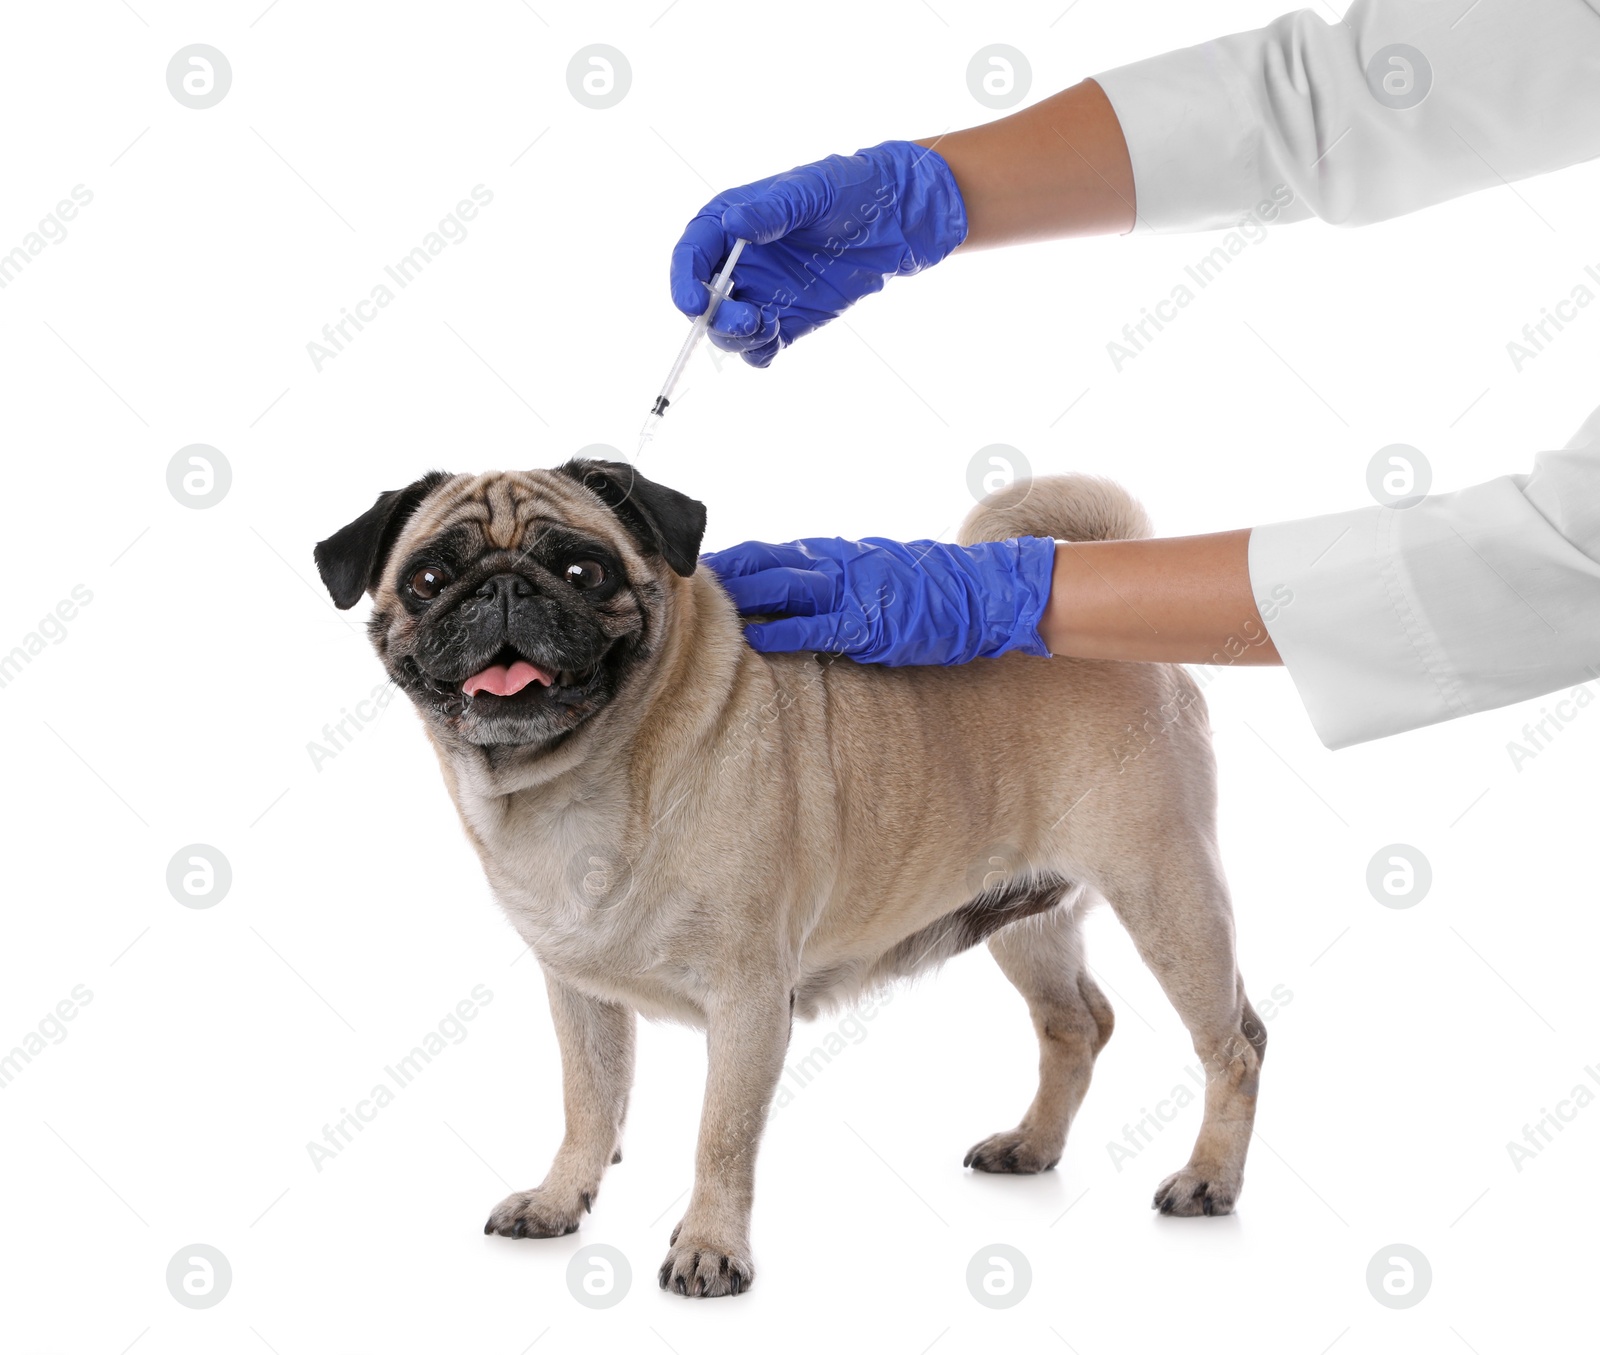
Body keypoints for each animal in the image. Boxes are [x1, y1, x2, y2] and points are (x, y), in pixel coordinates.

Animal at [312, 460, 1260, 1299]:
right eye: (430, 577)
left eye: (583, 570)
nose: (502, 589)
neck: (579, 775)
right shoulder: (579, 993)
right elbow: (589, 1101)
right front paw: (559, 1198)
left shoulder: (748, 1002)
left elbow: (720, 1137)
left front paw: (708, 1248)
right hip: (1025, 919)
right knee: (1076, 1025)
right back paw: (1031, 1145)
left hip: (1167, 895)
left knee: (1235, 1045)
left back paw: (1208, 1178)